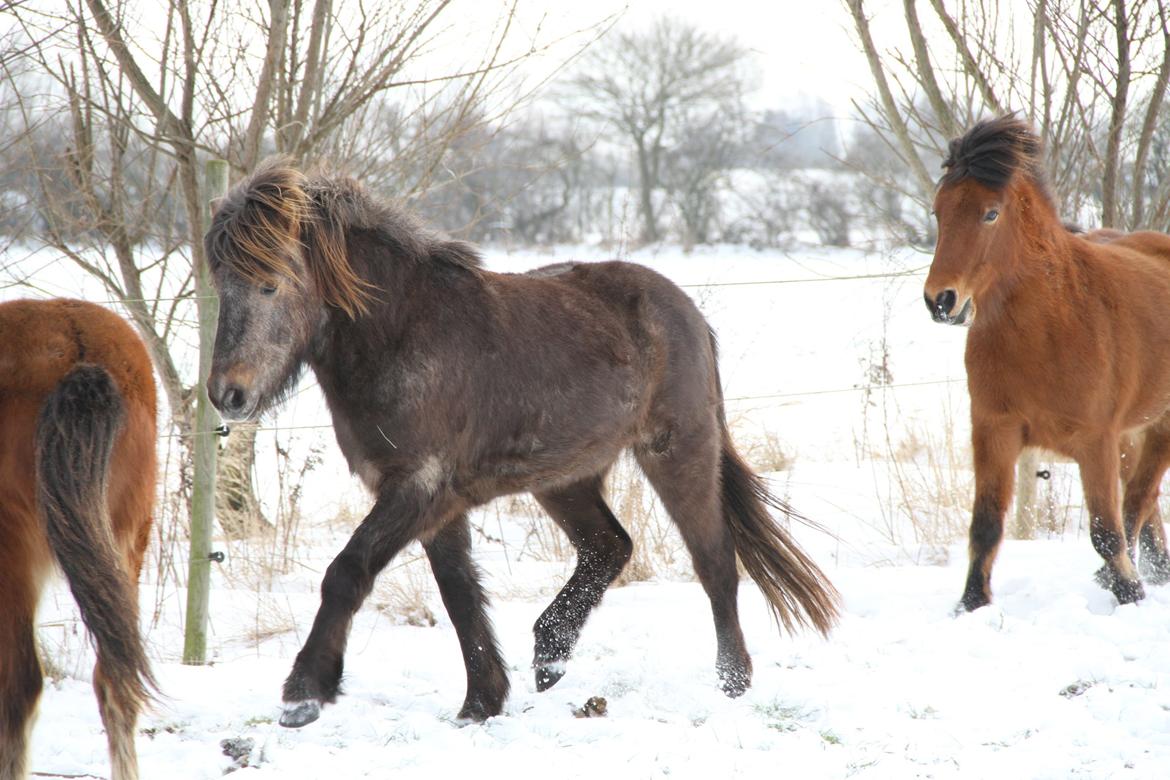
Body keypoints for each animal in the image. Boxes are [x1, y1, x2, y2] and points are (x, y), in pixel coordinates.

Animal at [203, 159, 842, 734]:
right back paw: (550, 656)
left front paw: (303, 694)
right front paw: (481, 703)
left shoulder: (418, 486)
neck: (401, 335)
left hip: (678, 452)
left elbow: (347, 571)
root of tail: (687, 311)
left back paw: (732, 683)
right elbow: (460, 595)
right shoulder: (435, 502)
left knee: (715, 562)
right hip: (564, 477)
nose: (227, 394)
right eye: (221, 285)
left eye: (271, 282)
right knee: (609, 547)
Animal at [926, 117, 1170, 617]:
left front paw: (1129, 594)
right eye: (938, 212)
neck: (1048, 329)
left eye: (990, 214)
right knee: (1146, 500)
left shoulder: (1095, 441)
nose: (940, 300)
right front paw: (971, 604)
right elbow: (985, 525)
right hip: (1132, 433)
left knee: (1139, 497)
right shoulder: (994, 431)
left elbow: (1106, 529)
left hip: (1159, 425)